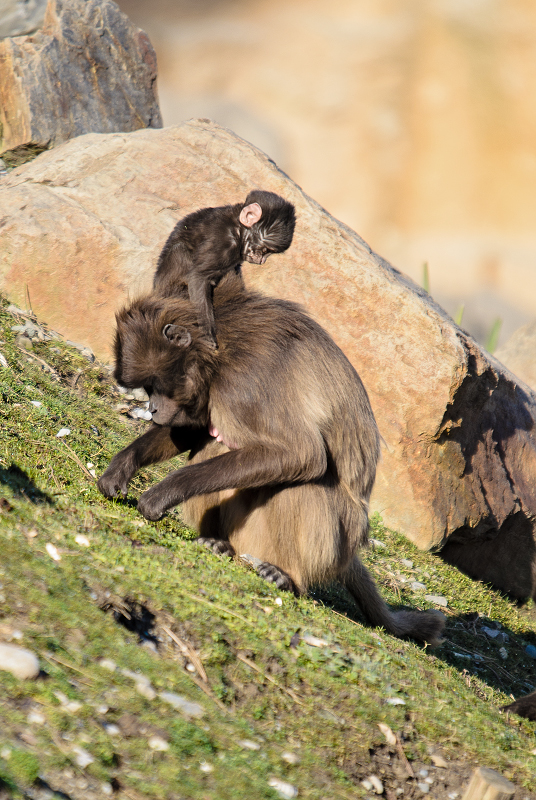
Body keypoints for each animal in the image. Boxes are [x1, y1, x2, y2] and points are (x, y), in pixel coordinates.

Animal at [154, 192, 298, 348]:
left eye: (270, 253)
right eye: (265, 250)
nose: (262, 260)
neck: (238, 228)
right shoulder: (224, 242)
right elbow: (198, 277)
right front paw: (207, 335)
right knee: (181, 251)